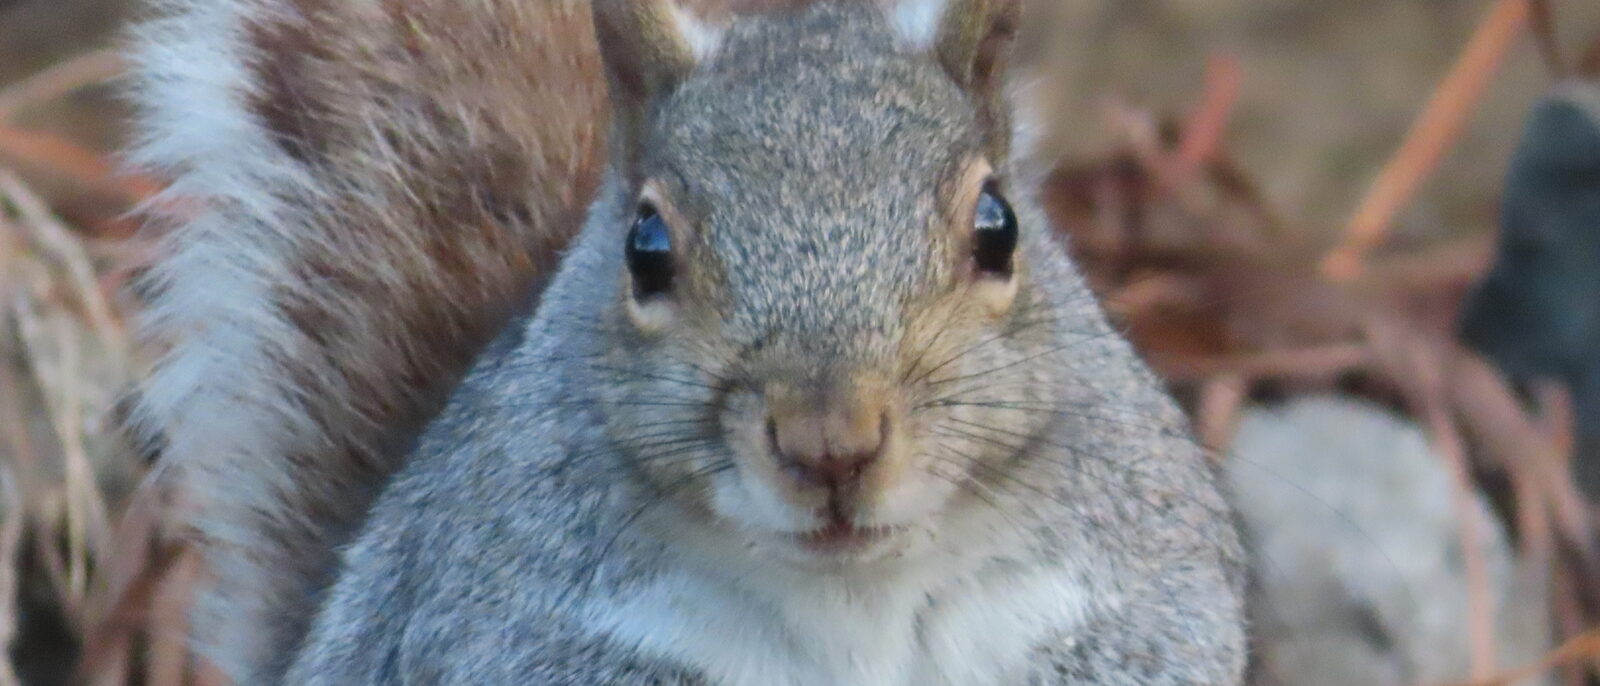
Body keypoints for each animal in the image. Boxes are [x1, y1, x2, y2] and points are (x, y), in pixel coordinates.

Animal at [128, 0, 1247, 684]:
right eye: (646, 247)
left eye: (998, 226)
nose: (830, 442)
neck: (853, 592)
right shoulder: (511, 620)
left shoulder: (1135, 591)